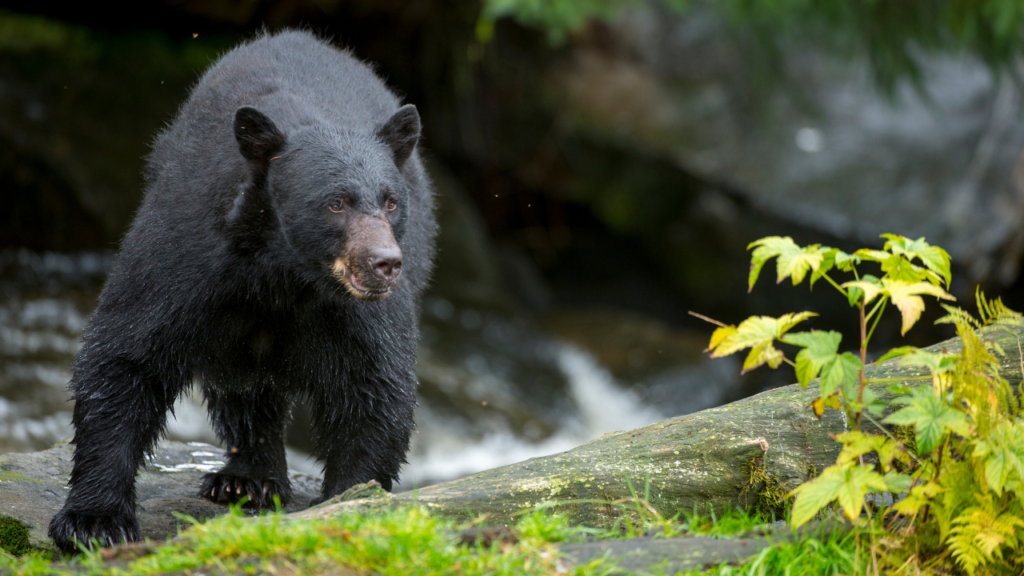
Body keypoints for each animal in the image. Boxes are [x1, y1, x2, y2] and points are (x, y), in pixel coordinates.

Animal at [47, 30, 436, 553]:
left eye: (391, 201)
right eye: (335, 202)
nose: (385, 264)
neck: (284, 273)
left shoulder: (355, 312)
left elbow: (374, 385)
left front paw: (350, 498)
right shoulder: (189, 258)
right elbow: (128, 354)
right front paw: (94, 521)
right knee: (242, 386)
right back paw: (247, 479)